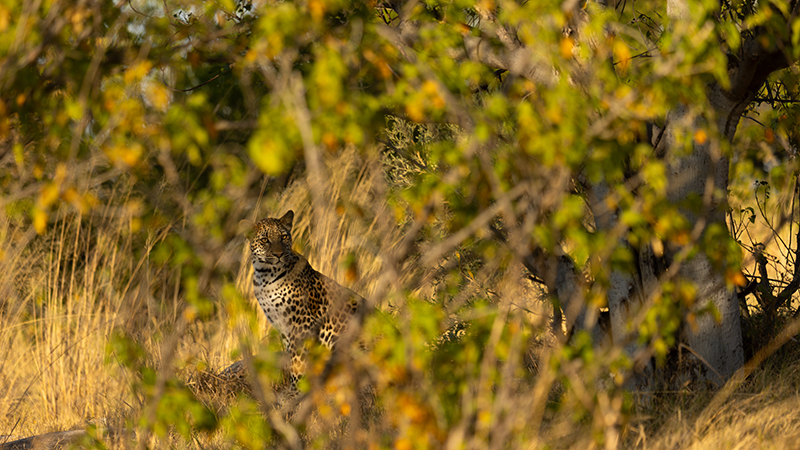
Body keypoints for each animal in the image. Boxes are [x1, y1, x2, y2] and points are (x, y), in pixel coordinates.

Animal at [245, 210, 364, 387]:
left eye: (284, 237)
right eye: (265, 240)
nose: (279, 255)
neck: (264, 276)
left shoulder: (302, 323)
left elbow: (298, 359)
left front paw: (297, 387)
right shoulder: (282, 325)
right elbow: (292, 356)